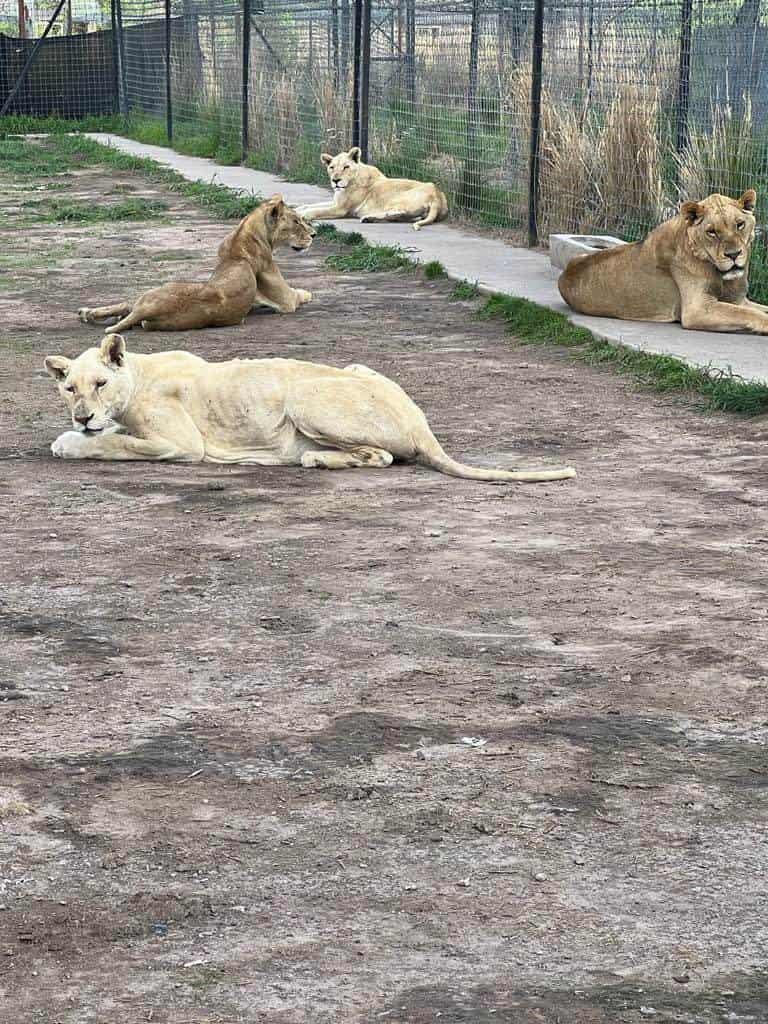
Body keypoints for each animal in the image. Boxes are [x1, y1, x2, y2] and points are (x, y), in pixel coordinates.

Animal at [45, 331, 577, 483]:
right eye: (69, 388)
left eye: (100, 383)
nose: (81, 415)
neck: (136, 375)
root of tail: (421, 423)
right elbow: (115, 437)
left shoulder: (183, 444)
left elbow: (114, 446)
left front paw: (71, 442)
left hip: (303, 396)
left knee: (382, 456)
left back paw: (314, 458)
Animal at [77, 193, 315, 333]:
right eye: (296, 221)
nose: (314, 234)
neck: (243, 235)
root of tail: (148, 310)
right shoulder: (285, 300)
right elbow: (300, 294)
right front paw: (308, 293)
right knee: (128, 305)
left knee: (127, 306)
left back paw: (87, 313)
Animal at [296, 146, 450, 230]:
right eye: (331, 167)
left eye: (346, 167)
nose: (335, 180)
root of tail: (438, 195)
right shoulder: (336, 202)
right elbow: (308, 205)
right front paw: (297, 210)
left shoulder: (341, 209)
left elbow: (316, 210)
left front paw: (304, 215)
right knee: (404, 216)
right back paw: (369, 218)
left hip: (397, 198)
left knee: (399, 212)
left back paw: (367, 217)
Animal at [561, 190, 768, 333]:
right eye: (712, 232)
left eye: (740, 224)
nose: (734, 254)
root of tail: (564, 273)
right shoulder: (697, 309)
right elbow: (748, 314)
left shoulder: (738, 300)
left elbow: (759, 309)